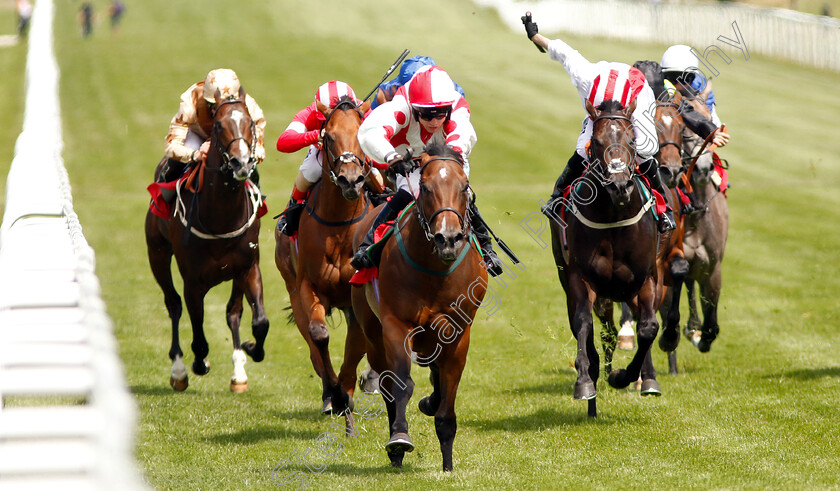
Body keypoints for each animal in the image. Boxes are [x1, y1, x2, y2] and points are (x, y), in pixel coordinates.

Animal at [144, 90, 270, 394]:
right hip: (157, 253)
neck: (221, 216)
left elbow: (259, 321)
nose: (241, 163)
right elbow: (199, 336)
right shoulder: (193, 280)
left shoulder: (249, 267)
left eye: (250, 122)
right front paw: (198, 364)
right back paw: (178, 370)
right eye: (219, 126)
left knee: (233, 312)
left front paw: (251, 349)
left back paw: (238, 372)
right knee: (173, 303)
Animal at [274, 95, 370, 418]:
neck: (339, 226)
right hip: (291, 285)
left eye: (363, 135)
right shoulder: (307, 286)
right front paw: (335, 393)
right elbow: (319, 335)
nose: (350, 180)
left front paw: (348, 390)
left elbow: (357, 344)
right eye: (328, 138)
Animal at [352, 145, 488, 472]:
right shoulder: (396, 325)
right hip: (372, 332)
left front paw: (448, 463)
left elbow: (447, 393)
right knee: (387, 382)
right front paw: (399, 438)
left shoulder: (458, 331)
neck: (435, 270)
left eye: (464, 187)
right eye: (425, 188)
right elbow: (401, 384)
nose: (448, 238)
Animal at [548, 100, 668, 418]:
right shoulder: (579, 279)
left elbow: (649, 328)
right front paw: (585, 381)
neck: (615, 217)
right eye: (598, 142)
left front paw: (624, 376)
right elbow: (582, 324)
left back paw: (647, 378)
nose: (619, 186)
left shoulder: (647, 278)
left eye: (632, 140)